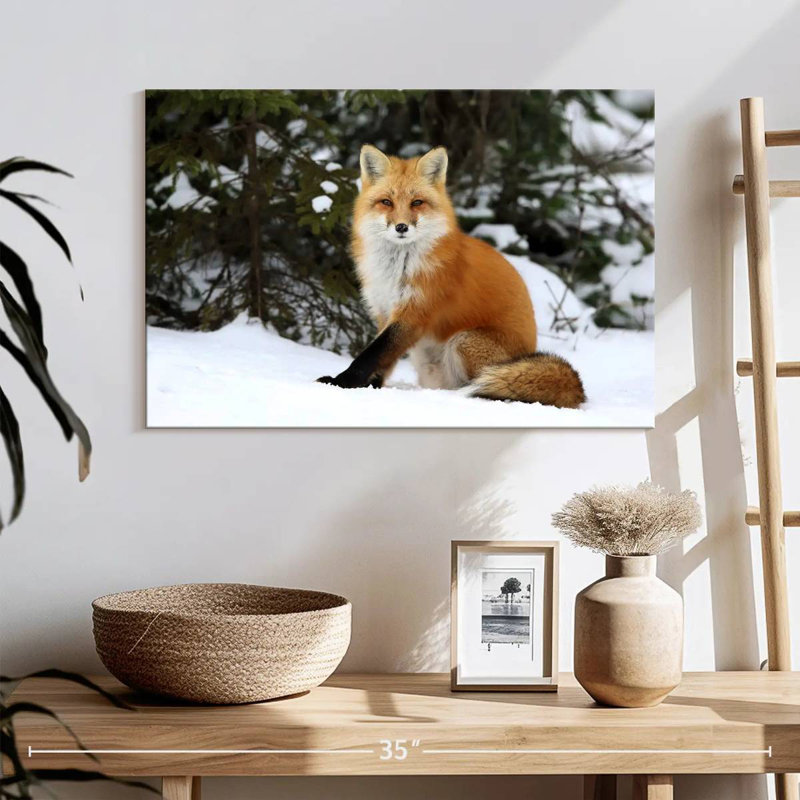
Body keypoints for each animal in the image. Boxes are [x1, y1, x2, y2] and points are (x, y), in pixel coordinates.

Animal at [316, 144, 585, 409]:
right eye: (386, 202)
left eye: (417, 202)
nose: (401, 227)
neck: (397, 267)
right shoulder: (385, 310)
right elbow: (383, 358)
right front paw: (370, 386)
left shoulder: (415, 312)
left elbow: (371, 354)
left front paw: (341, 382)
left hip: (464, 341)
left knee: (489, 385)